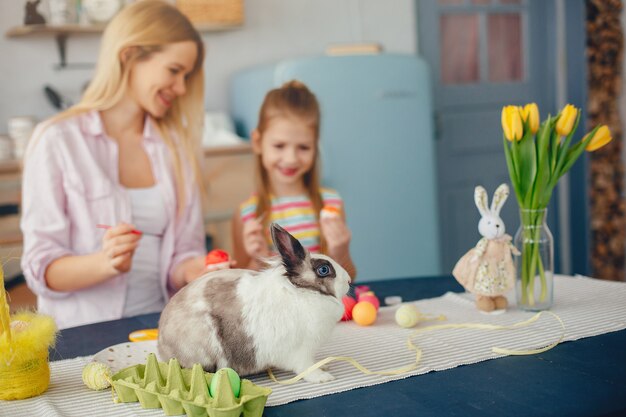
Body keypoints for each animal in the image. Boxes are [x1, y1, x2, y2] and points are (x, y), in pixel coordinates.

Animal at [156, 223, 352, 382]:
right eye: (324, 269)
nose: (349, 281)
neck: (304, 291)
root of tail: (162, 346)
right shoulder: (301, 351)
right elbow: (306, 368)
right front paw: (323, 377)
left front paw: (323, 364)